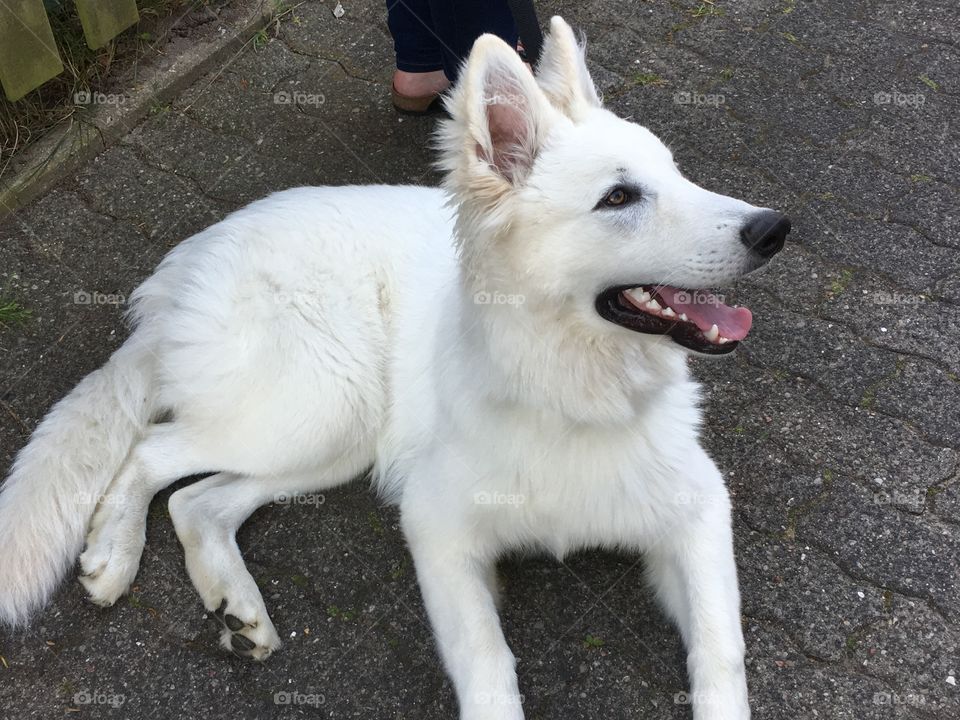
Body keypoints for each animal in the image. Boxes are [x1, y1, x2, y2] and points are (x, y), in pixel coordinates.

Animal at [0, 16, 788, 720]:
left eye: (677, 175)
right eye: (619, 197)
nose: (775, 229)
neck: (569, 387)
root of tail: (185, 271)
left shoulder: (698, 515)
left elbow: (721, 656)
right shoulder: (438, 529)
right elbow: (488, 669)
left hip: (334, 440)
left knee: (198, 501)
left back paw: (235, 603)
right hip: (317, 409)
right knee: (149, 450)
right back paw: (115, 554)